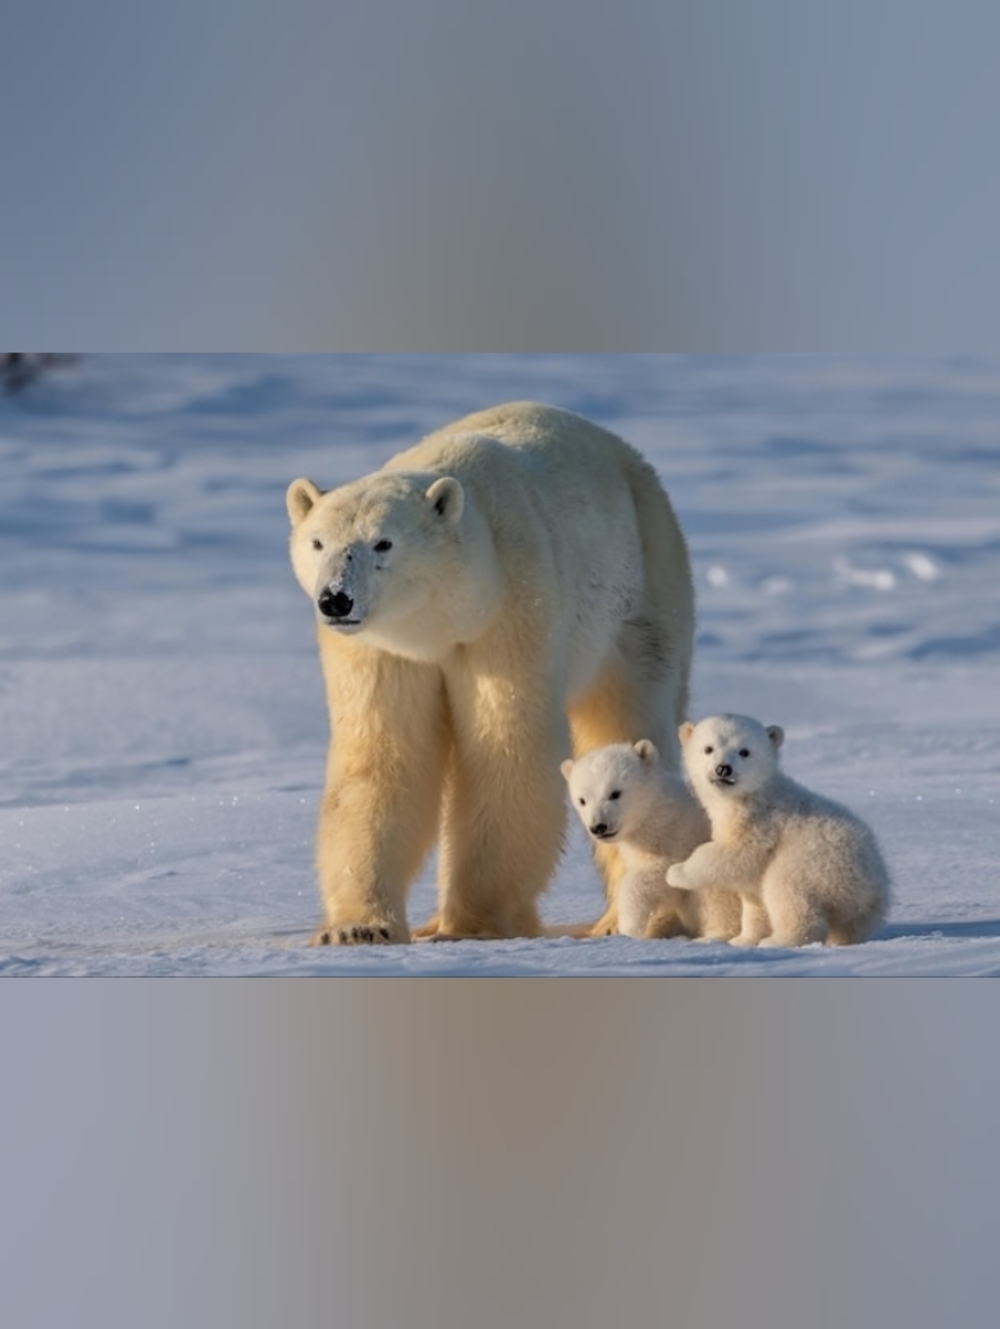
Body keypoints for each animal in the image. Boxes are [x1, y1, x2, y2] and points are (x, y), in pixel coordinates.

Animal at [285, 402, 695, 944]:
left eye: (383, 543)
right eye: (317, 542)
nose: (336, 598)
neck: (445, 617)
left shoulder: (512, 609)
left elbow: (506, 750)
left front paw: (472, 925)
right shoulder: (382, 649)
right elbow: (382, 757)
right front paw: (358, 927)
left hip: (642, 590)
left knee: (628, 715)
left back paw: (626, 920)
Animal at [561, 740, 743, 941]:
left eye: (615, 793)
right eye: (582, 800)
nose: (599, 827)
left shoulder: (680, 839)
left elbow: (660, 874)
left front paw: (630, 926)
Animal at [665, 714, 890, 948]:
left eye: (744, 751)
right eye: (708, 748)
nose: (723, 768)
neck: (751, 795)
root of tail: (871, 887)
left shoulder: (761, 823)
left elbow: (735, 853)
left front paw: (676, 872)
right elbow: (754, 900)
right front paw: (742, 940)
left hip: (814, 863)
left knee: (786, 891)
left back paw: (778, 940)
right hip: (859, 906)